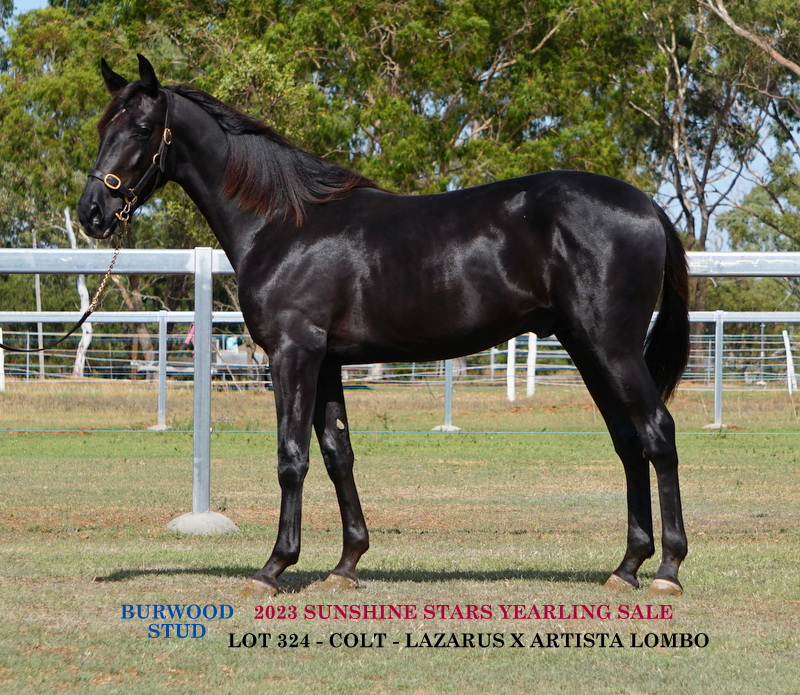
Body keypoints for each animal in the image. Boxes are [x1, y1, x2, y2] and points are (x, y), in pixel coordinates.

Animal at [78, 55, 690, 598]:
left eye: (141, 127)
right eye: (104, 125)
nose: (92, 213)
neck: (284, 225)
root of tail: (648, 206)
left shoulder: (293, 354)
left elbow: (292, 458)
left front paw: (273, 568)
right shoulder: (326, 361)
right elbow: (337, 454)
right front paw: (346, 564)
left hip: (612, 348)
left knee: (658, 432)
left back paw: (668, 569)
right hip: (585, 347)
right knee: (629, 441)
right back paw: (627, 567)